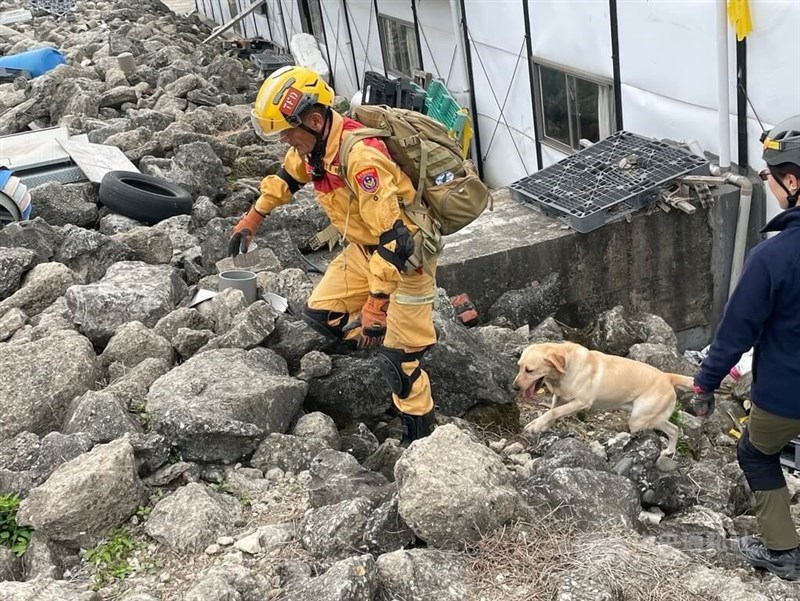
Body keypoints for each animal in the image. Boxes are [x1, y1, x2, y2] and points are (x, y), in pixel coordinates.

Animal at [512, 342, 692, 464]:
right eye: (519, 367)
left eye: (529, 370)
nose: (514, 387)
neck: (567, 365)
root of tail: (668, 377)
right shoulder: (560, 397)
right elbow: (552, 411)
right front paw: (544, 426)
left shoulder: (581, 402)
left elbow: (553, 411)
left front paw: (535, 425)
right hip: (648, 418)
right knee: (674, 429)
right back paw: (669, 451)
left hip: (640, 419)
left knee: (670, 429)